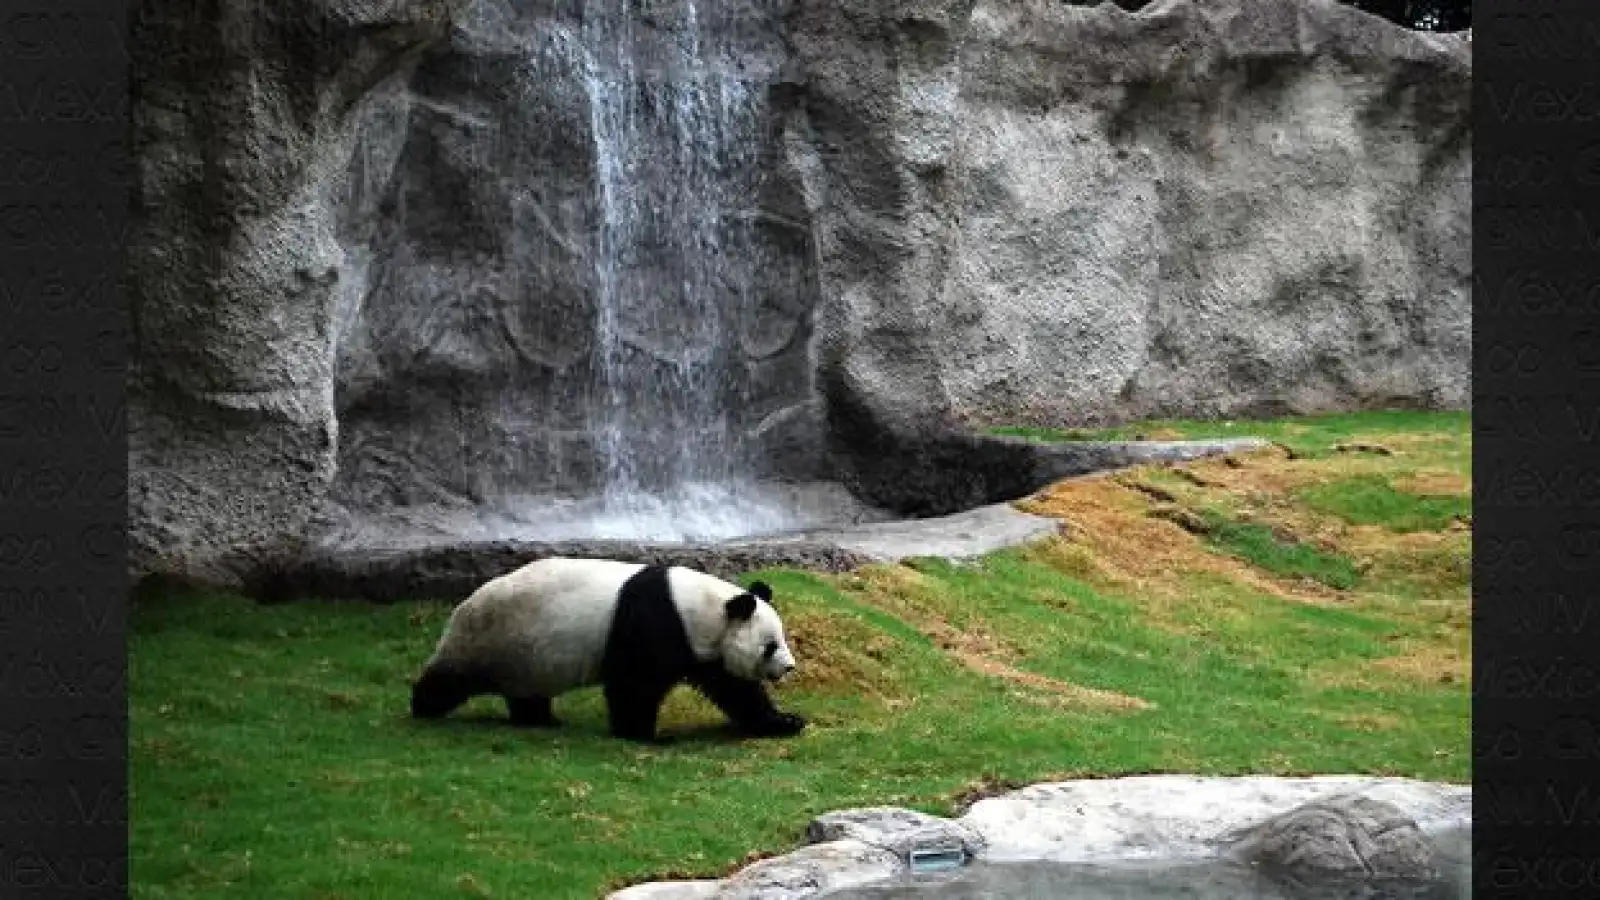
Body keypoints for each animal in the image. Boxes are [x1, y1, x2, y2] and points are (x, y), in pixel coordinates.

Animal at [409, 556, 807, 744]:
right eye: (770, 646)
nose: (789, 667)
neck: (698, 606)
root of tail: (464, 605)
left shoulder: (704, 647)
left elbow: (734, 688)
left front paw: (784, 722)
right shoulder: (654, 623)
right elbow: (634, 684)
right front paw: (646, 735)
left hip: (526, 659)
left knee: (526, 692)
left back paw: (540, 718)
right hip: (492, 639)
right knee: (451, 678)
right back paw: (423, 706)